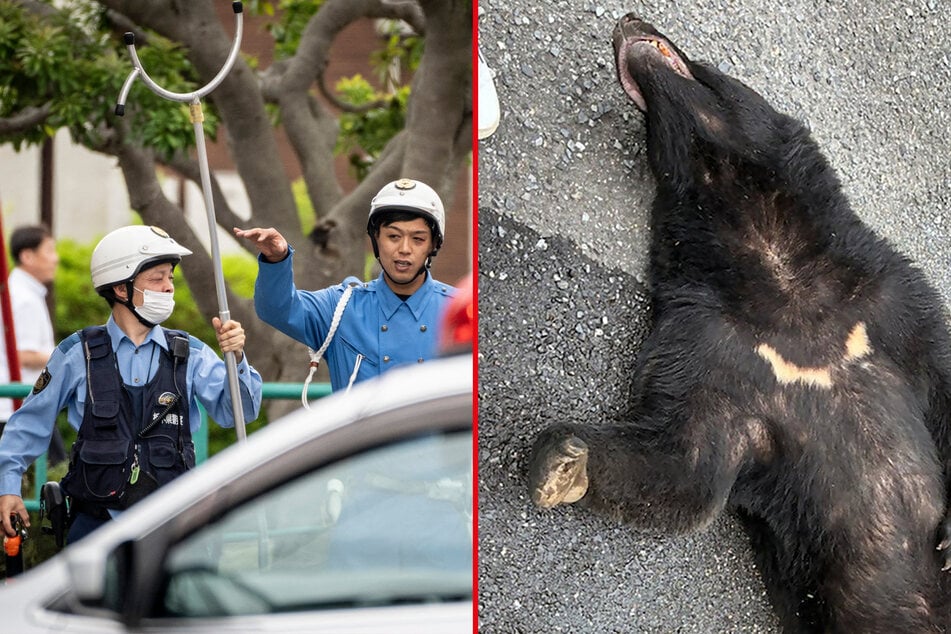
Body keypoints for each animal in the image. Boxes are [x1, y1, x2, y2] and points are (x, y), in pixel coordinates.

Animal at [528, 14, 951, 634]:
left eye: (711, 68)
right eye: (650, 129)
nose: (627, 20)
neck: (781, 280)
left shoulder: (892, 300)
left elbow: (942, 377)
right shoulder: (709, 341)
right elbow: (688, 462)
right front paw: (562, 460)